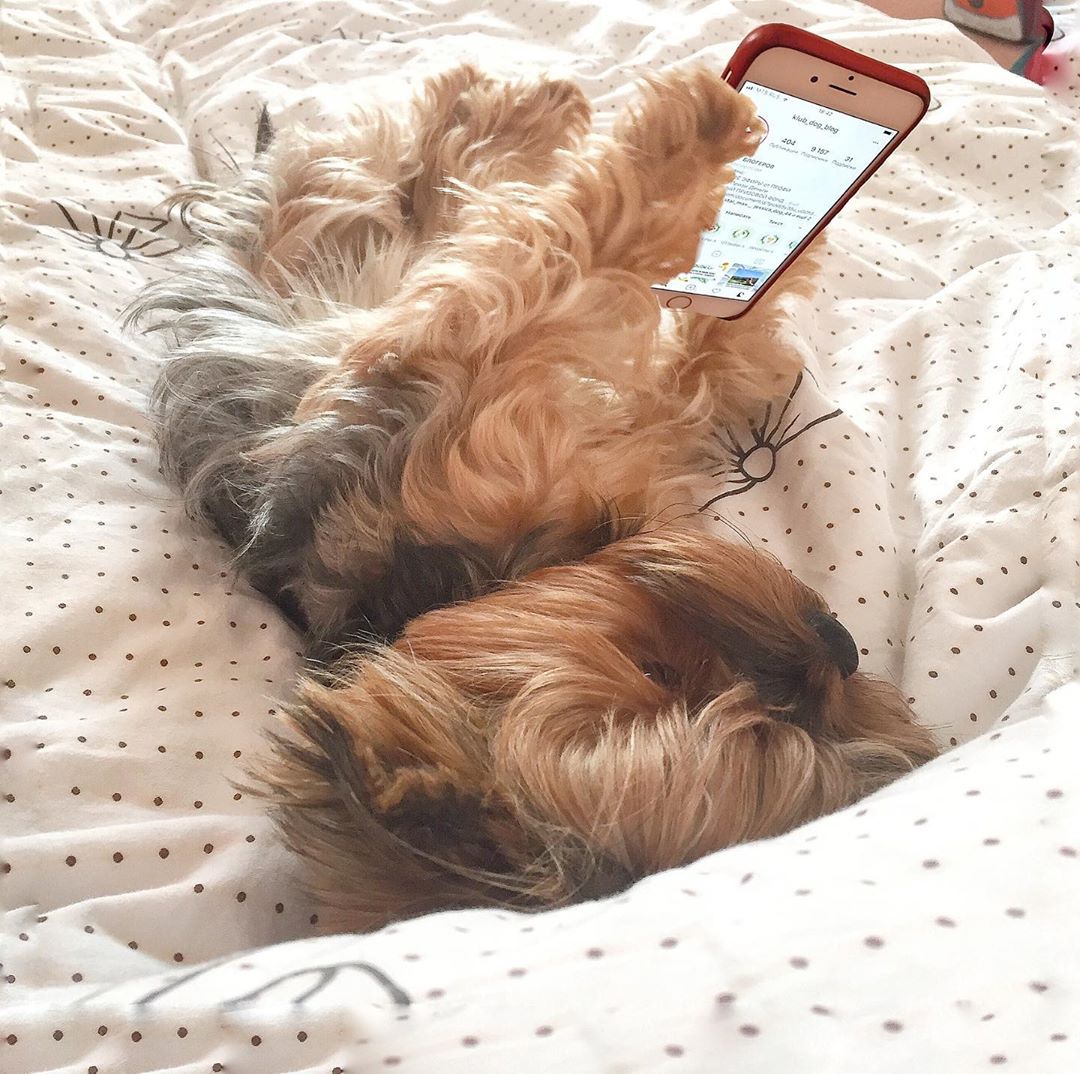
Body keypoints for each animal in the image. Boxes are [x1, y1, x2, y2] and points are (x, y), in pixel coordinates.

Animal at [128, 62, 937, 929]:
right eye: (658, 673)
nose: (840, 643)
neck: (498, 568)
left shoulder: (639, 419)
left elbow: (710, 345)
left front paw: (777, 233)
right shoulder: (455, 369)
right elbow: (581, 245)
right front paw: (705, 122)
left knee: (422, 183)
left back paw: (508, 107)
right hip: (311, 237)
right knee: (376, 181)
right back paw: (519, 109)